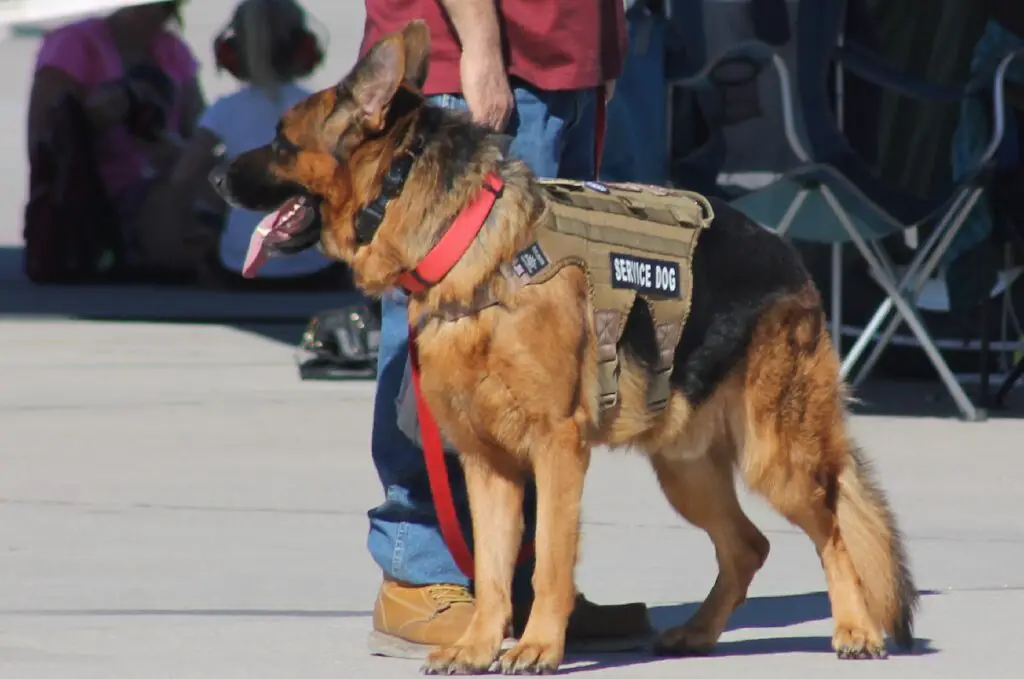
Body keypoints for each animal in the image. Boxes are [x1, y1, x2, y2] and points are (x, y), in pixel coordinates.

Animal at [211, 18, 917, 675]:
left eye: (281, 142)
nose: (215, 173)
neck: (466, 241)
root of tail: (787, 251)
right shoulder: (487, 463)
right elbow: (494, 570)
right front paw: (479, 646)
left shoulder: (556, 450)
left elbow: (548, 558)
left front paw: (539, 646)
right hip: (685, 467)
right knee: (749, 545)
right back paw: (698, 632)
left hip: (780, 461)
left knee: (833, 531)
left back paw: (855, 629)